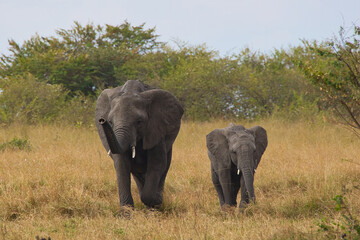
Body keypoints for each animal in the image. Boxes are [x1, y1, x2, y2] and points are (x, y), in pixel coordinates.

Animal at [94, 80, 184, 208]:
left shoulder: (156, 128)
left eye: (139, 122)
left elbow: (157, 163)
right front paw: (127, 213)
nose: (102, 120)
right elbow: (121, 165)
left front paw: (156, 201)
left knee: (165, 166)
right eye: (110, 121)